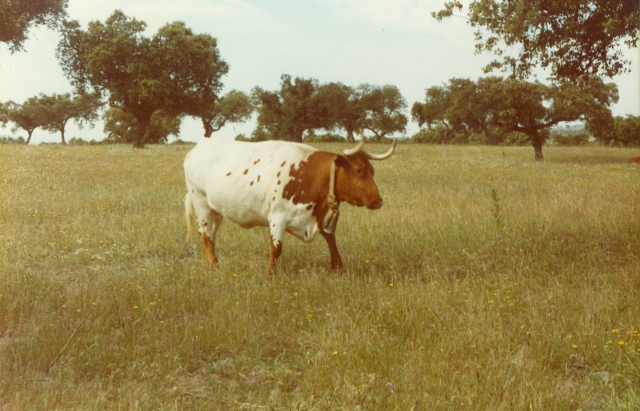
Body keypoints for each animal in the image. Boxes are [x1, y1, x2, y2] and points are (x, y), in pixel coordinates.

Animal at [184, 138, 396, 280]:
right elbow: (276, 249)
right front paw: (269, 277)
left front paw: (338, 267)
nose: (378, 201)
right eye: (359, 171)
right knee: (206, 236)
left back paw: (212, 264)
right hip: (200, 202)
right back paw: (214, 267)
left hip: (216, 210)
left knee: (209, 234)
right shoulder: (277, 217)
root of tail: (198, 147)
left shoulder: (318, 216)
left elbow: (330, 238)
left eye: (372, 170)